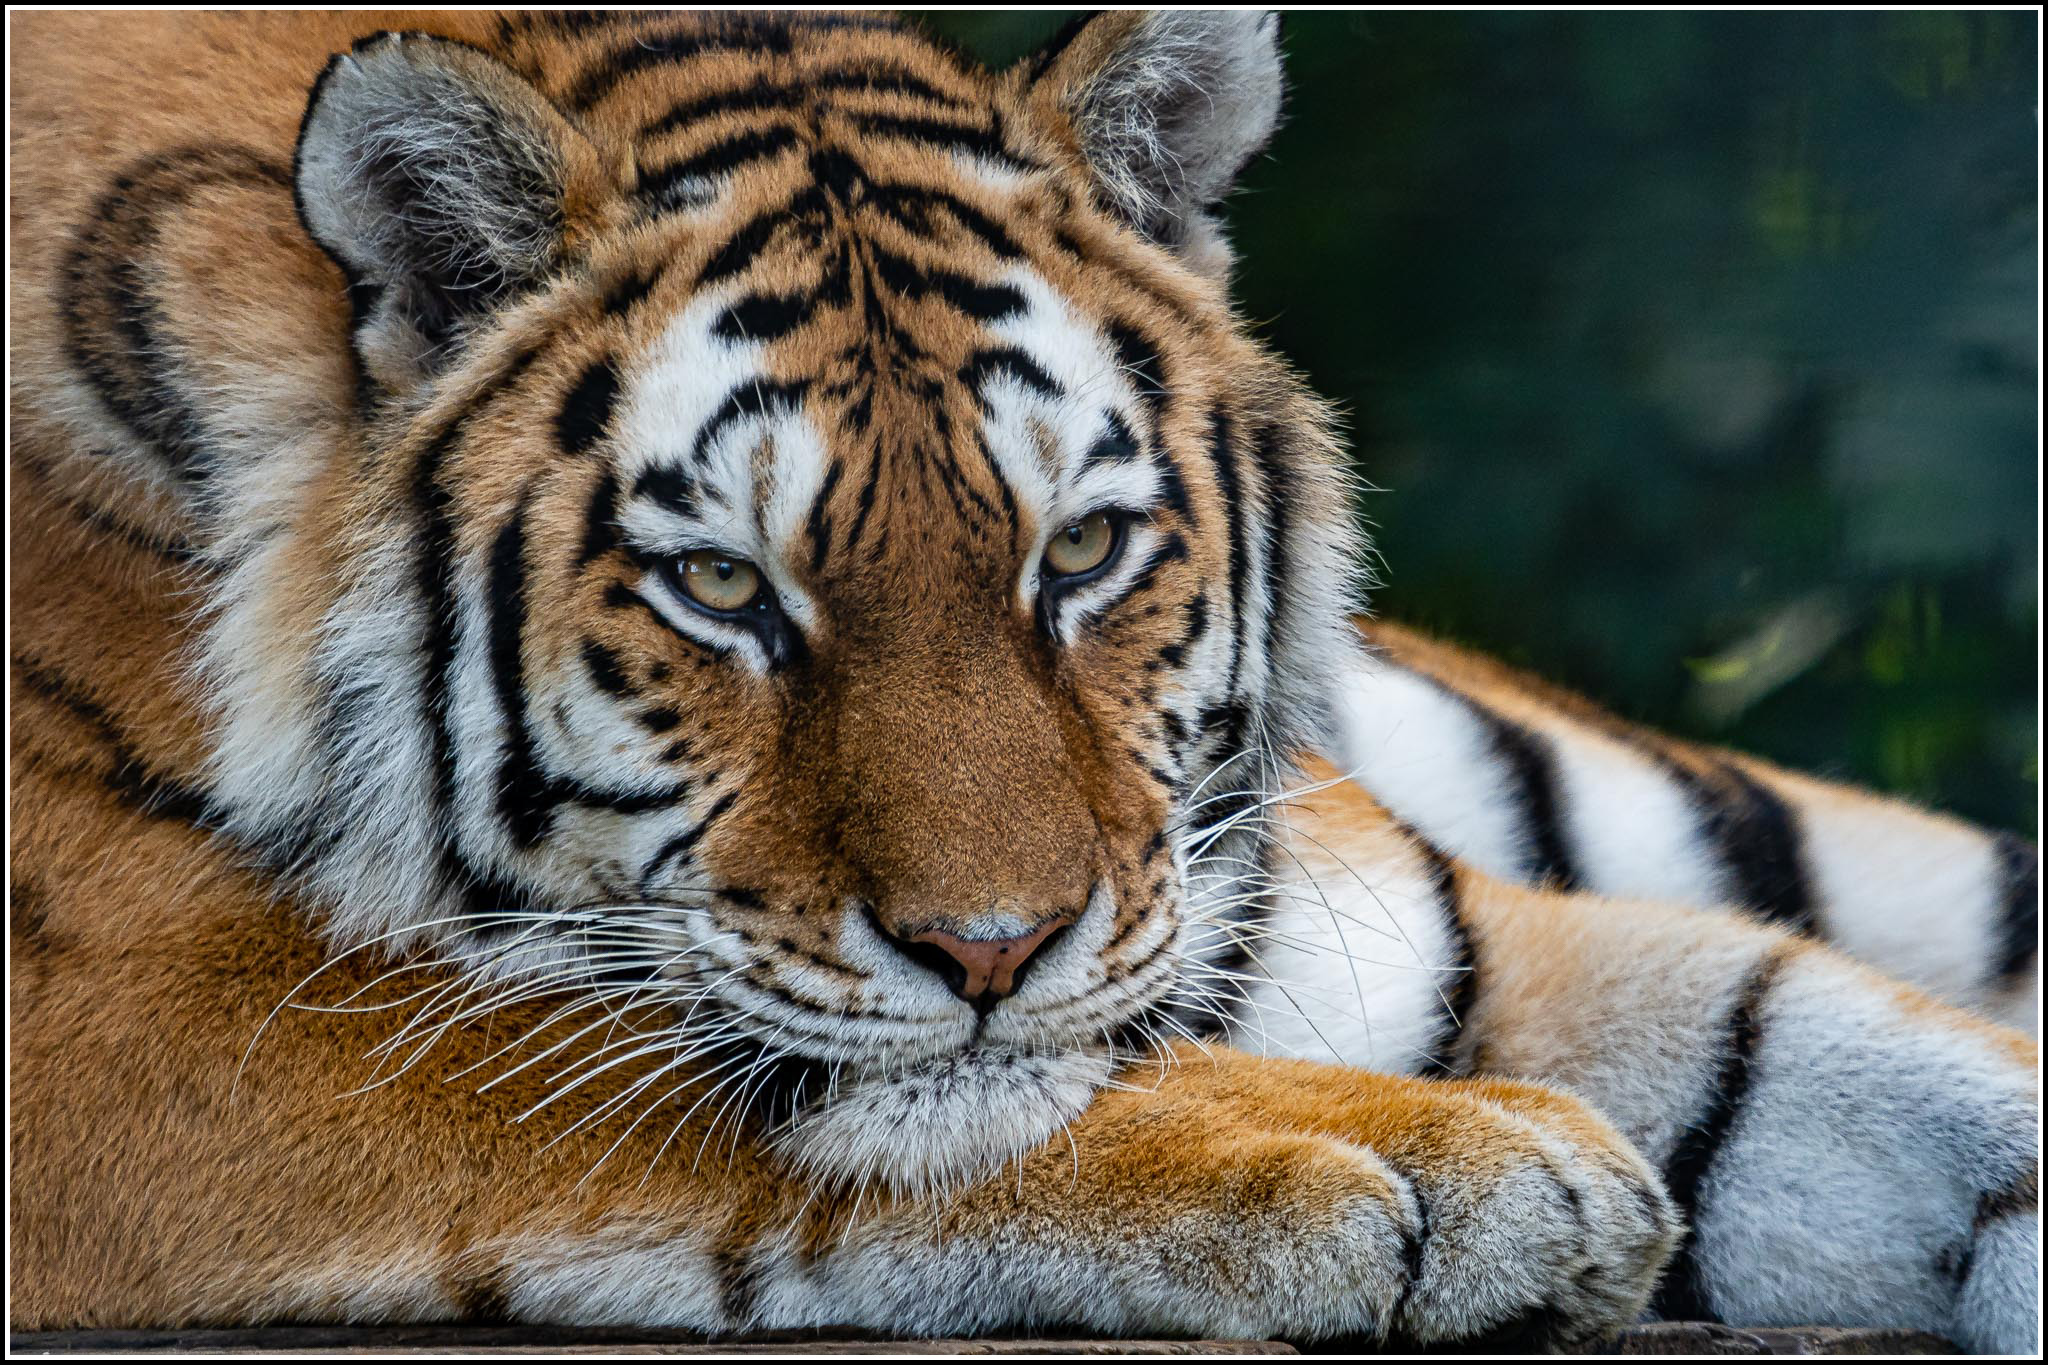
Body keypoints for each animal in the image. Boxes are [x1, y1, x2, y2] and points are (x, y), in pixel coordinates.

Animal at [8, 7, 2039, 1358]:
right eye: (722, 586)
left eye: (1080, 553)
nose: (993, 953)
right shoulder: (139, 1001)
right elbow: (681, 1080)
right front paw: (1449, 1159)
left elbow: (1837, 1045)